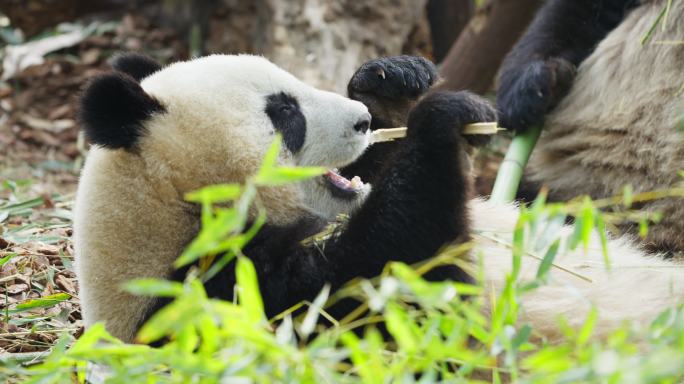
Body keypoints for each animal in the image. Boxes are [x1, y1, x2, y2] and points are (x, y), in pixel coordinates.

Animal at [73, 52, 684, 344]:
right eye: (284, 113)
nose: (362, 121)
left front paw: (390, 80)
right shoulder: (227, 299)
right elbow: (398, 274)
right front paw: (441, 119)